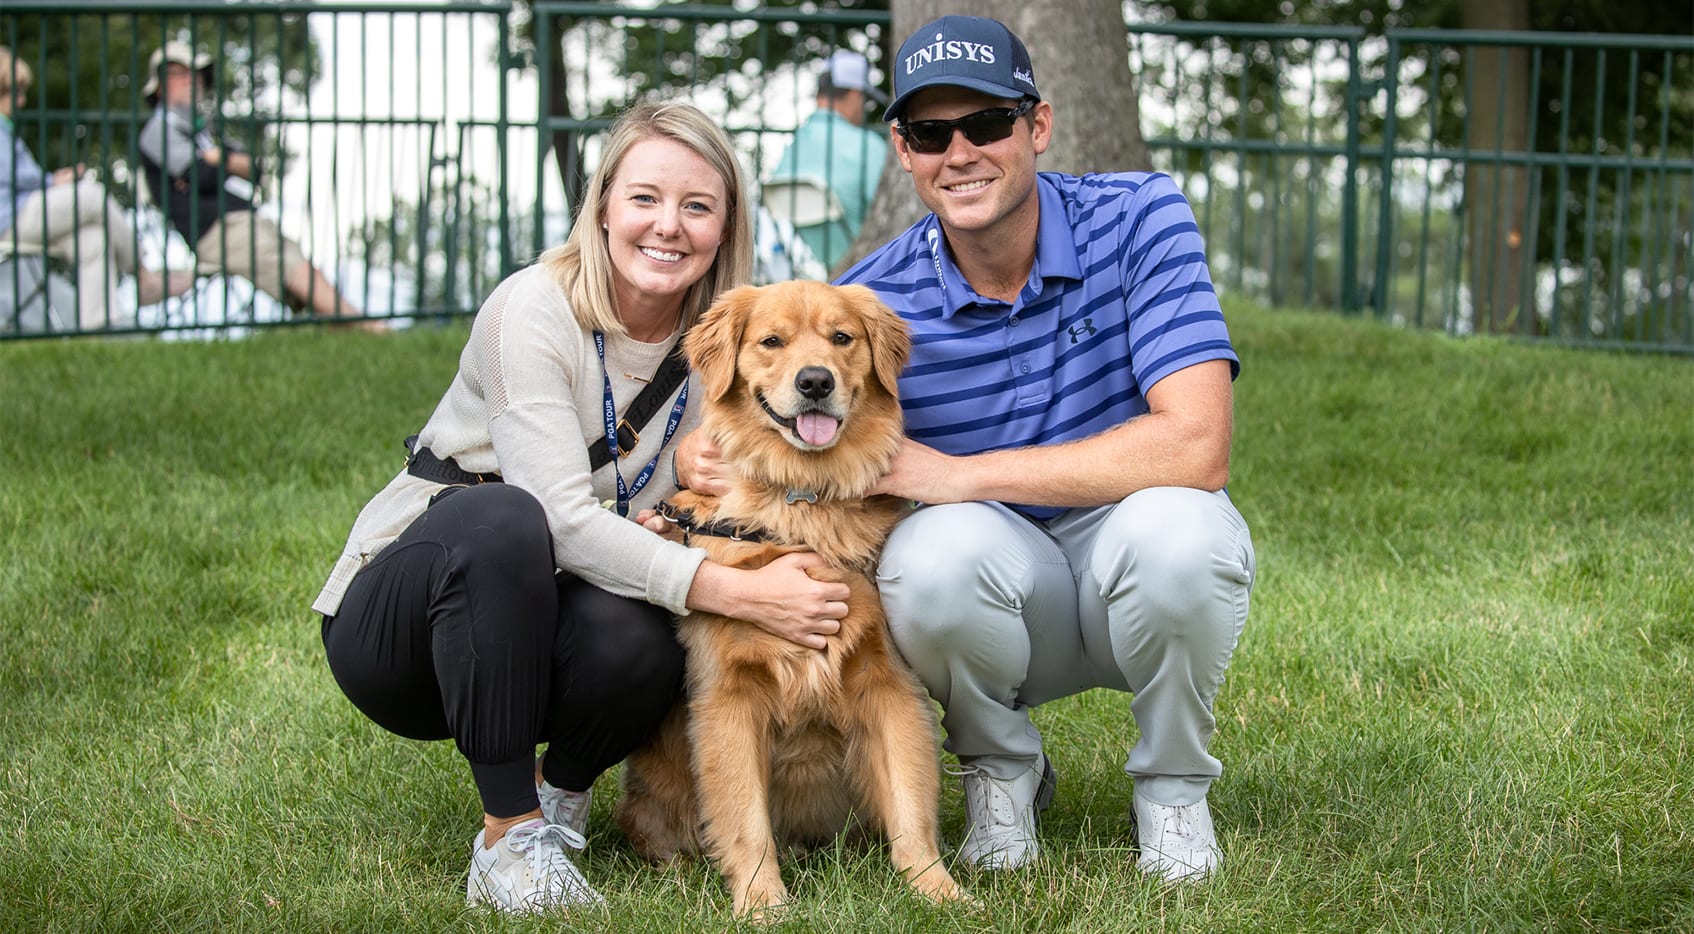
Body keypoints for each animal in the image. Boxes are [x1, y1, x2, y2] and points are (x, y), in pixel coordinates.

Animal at [620, 279, 968, 922]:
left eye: (842, 338)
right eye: (771, 341)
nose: (815, 382)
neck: (802, 507)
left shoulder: (888, 683)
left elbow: (910, 800)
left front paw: (937, 890)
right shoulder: (728, 699)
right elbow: (744, 817)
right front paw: (762, 904)